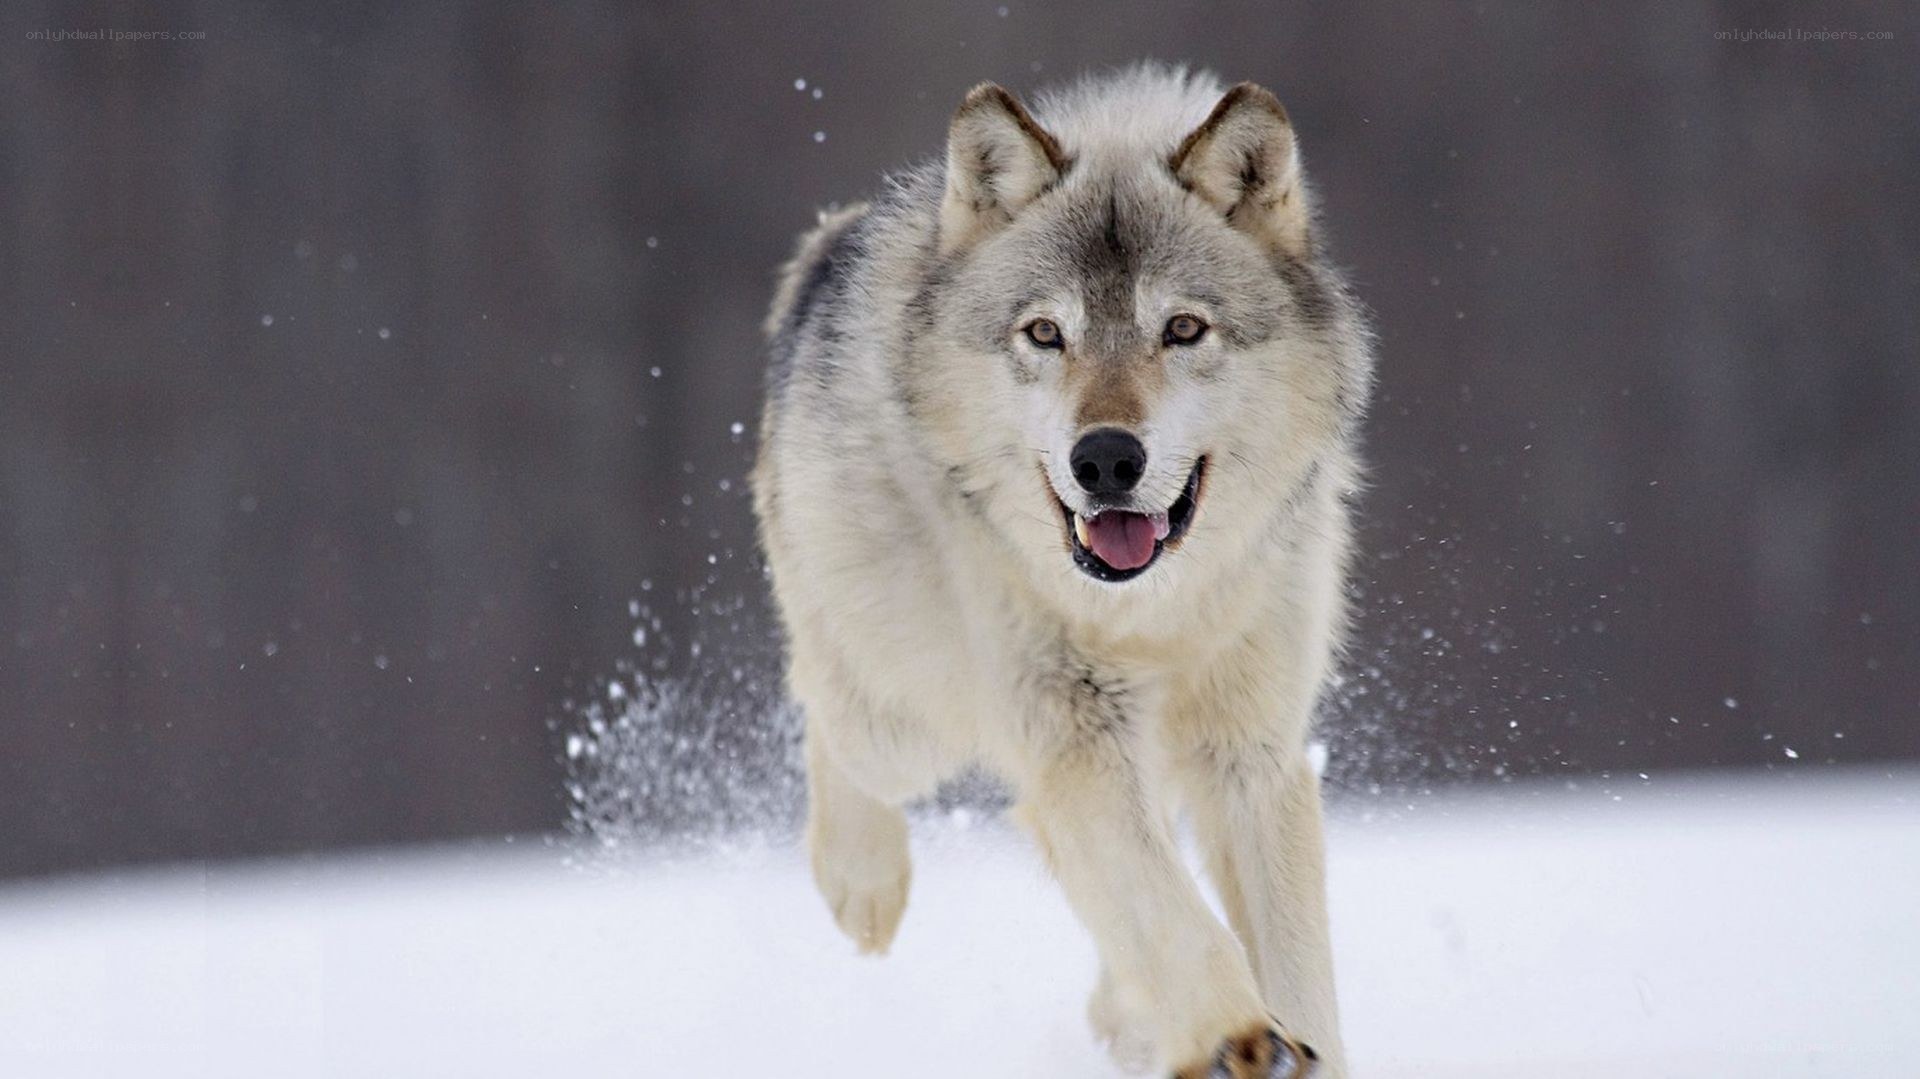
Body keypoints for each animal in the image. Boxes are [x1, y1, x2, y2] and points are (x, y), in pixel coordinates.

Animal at [752, 63, 1372, 1078]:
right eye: (1045, 333)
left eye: (1183, 328)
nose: (1107, 459)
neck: (1152, 615)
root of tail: (827, 246)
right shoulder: (1073, 733)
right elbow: (1171, 913)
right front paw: (1237, 1035)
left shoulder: (1252, 753)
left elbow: (1290, 959)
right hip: (905, 715)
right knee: (825, 708)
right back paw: (862, 884)